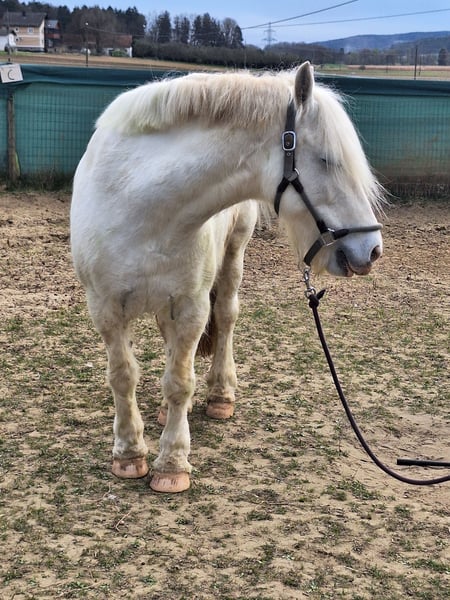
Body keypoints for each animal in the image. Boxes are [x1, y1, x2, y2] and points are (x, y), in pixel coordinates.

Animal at [70, 62, 384, 493]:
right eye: (326, 160)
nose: (371, 250)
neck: (136, 204)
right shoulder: (105, 308)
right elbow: (123, 377)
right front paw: (129, 453)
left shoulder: (191, 306)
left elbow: (180, 380)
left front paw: (172, 465)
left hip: (233, 256)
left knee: (227, 316)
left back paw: (220, 394)